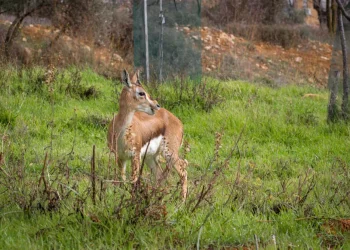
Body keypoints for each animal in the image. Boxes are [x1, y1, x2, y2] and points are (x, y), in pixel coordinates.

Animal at [107, 69, 187, 200]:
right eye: (141, 93)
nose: (156, 105)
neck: (121, 133)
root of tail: (178, 122)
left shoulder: (135, 156)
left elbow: (133, 180)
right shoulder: (120, 157)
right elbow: (122, 179)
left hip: (169, 153)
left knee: (183, 167)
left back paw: (181, 202)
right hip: (151, 157)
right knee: (160, 174)